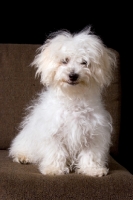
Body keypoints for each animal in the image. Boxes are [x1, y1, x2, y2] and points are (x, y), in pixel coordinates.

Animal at [8, 26, 116, 177]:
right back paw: (23, 157)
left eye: (84, 62)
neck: (73, 99)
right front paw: (53, 169)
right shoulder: (53, 133)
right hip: (26, 140)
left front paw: (92, 169)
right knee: (21, 148)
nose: (73, 75)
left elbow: (91, 154)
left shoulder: (93, 133)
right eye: (64, 61)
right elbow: (55, 152)